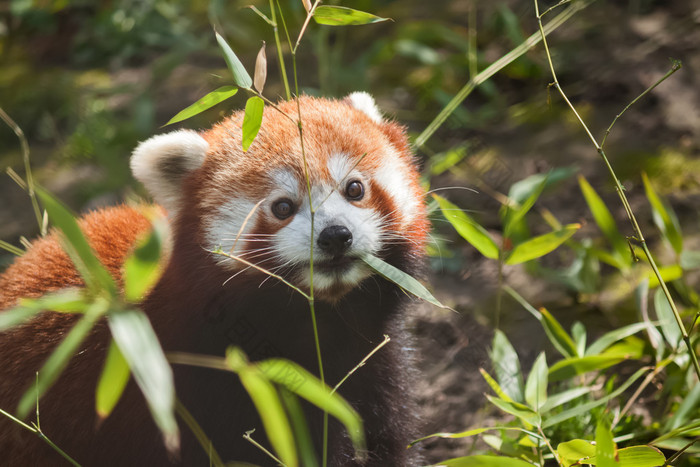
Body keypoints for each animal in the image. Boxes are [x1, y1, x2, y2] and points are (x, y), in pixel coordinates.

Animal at [0, 93, 426, 466]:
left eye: (354, 188)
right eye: (282, 207)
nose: (335, 235)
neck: (323, 324)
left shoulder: (377, 363)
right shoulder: (210, 386)